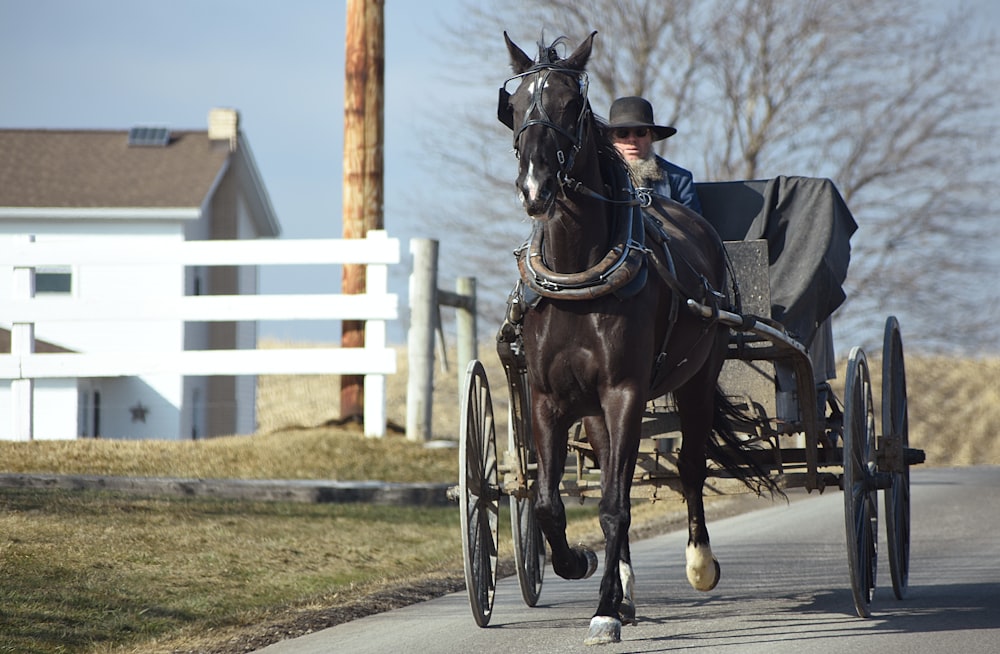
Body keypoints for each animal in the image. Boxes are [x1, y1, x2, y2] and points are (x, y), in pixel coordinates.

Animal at [504, 32, 776, 644]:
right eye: (517, 104)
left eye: (570, 105)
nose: (536, 186)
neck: (580, 273)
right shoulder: (549, 398)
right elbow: (549, 503)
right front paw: (579, 565)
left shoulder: (624, 391)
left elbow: (612, 505)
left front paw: (604, 609)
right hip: (595, 412)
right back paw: (623, 585)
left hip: (696, 380)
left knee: (692, 467)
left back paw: (698, 564)